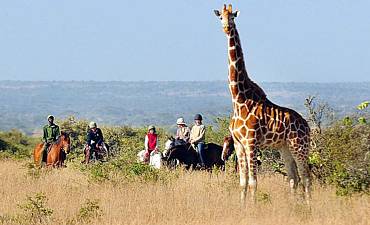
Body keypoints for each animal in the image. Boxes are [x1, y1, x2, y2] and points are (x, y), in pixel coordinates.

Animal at [214, 4, 312, 203]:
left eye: (232, 17)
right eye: (221, 17)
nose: (226, 28)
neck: (238, 99)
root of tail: (306, 126)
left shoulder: (251, 142)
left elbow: (253, 182)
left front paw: (253, 207)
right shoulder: (239, 145)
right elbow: (242, 182)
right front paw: (243, 206)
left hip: (299, 146)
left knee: (306, 177)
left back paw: (308, 206)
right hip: (285, 148)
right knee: (294, 178)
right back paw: (293, 206)